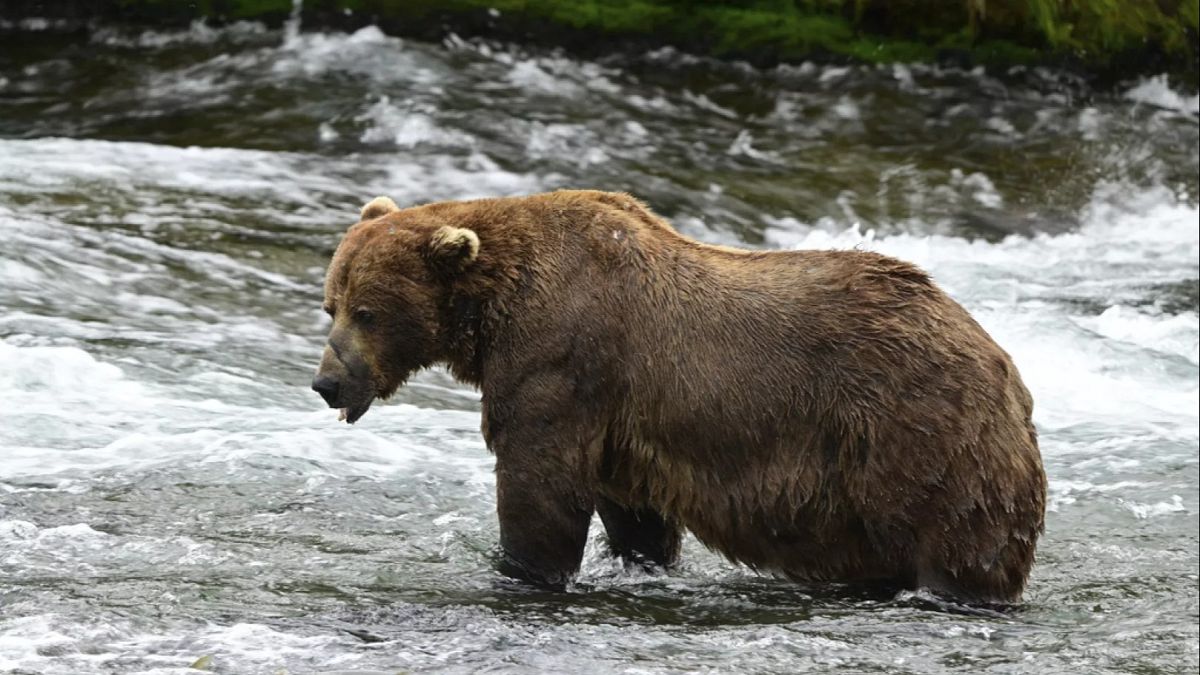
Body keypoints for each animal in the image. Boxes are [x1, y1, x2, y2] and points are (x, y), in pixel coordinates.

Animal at [312, 189, 1046, 604]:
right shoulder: (619, 419)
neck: (492, 307)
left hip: (919, 434)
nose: (327, 382)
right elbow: (631, 511)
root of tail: (1007, 367)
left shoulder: (562, 357)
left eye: (367, 311)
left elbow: (539, 482)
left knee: (959, 544)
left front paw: (521, 569)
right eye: (331, 304)